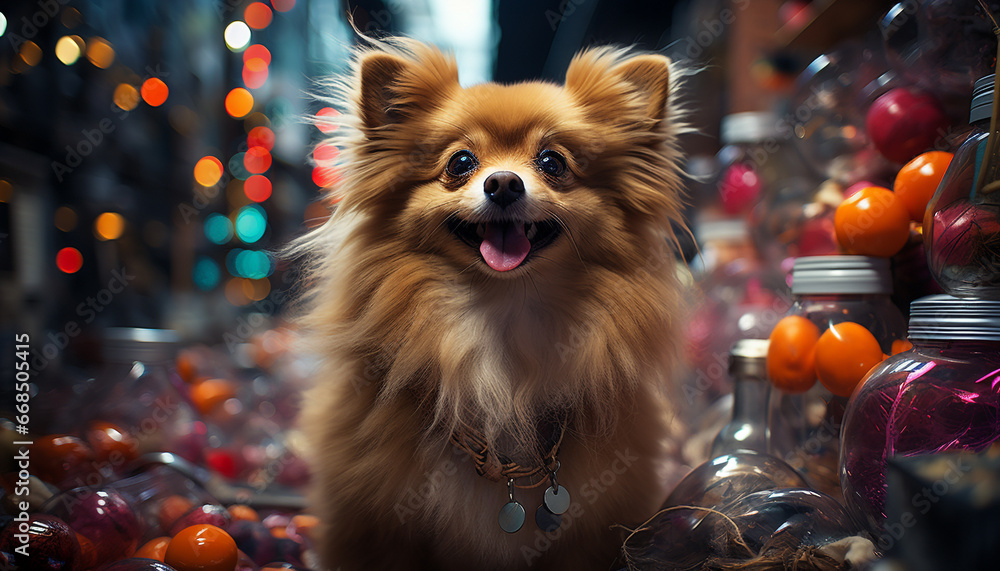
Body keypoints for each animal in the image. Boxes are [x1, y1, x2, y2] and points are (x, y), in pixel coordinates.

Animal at [292, 38, 688, 568]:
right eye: (461, 163)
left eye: (552, 162)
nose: (503, 183)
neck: (503, 316)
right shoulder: (377, 530)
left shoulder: (589, 535)